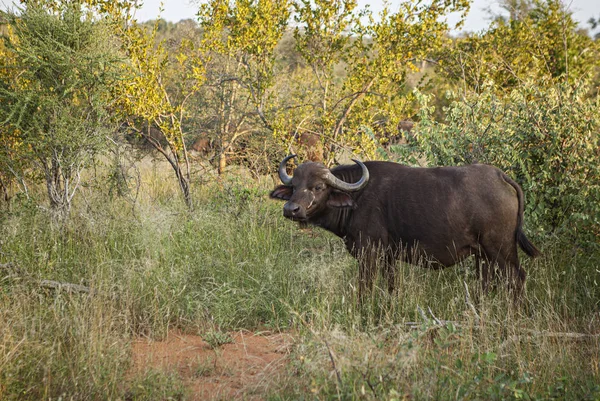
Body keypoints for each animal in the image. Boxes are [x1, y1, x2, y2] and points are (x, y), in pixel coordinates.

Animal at [270, 156, 540, 300]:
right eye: (294, 186)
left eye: (317, 187)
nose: (291, 209)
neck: (357, 198)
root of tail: (501, 177)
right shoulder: (389, 257)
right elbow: (392, 286)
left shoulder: (369, 254)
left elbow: (365, 289)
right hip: (483, 255)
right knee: (486, 283)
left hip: (502, 250)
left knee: (517, 279)